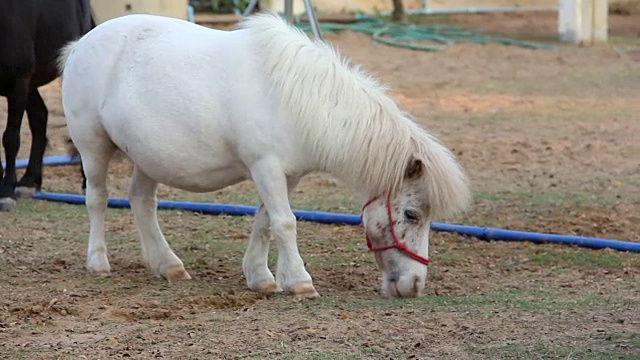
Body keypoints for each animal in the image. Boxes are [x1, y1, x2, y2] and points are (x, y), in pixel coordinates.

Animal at [58, 12, 470, 298]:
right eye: (412, 214)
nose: (414, 285)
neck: (295, 99)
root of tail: (80, 45)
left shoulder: (285, 175)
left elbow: (266, 222)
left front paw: (262, 278)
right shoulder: (265, 167)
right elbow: (285, 222)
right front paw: (300, 282)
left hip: (149, 157)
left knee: (142, 201)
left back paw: (168, 265)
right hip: (93, 147)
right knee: (97, 199)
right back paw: (98, 262)